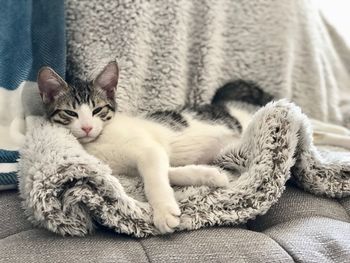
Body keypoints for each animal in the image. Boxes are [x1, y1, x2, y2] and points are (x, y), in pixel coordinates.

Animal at [37, 60, 350, 234]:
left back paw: (342, 133)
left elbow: (154, 178)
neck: (100, 142)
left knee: (317, 125)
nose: (87, 128)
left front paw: (164, 212)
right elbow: (168, 171)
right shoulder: (143, 161)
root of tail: (224, 104)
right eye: (70, 113)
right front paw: (210, 175)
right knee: (319, 131)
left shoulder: (149, 150)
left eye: (98, 110)